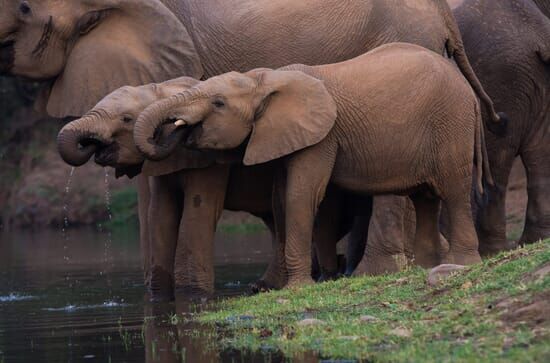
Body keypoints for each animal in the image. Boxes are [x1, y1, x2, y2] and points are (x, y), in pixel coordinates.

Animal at [136, 42, 494, 288]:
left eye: (219, 103)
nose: (176, 129)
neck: (265, 78)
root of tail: (469, 90)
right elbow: (281, 198)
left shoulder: (322, 137)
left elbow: (302, 194)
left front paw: (297, 287)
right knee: (425, 199)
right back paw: (426, 266)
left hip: (451, 124)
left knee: (454, 191)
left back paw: (463, 264)